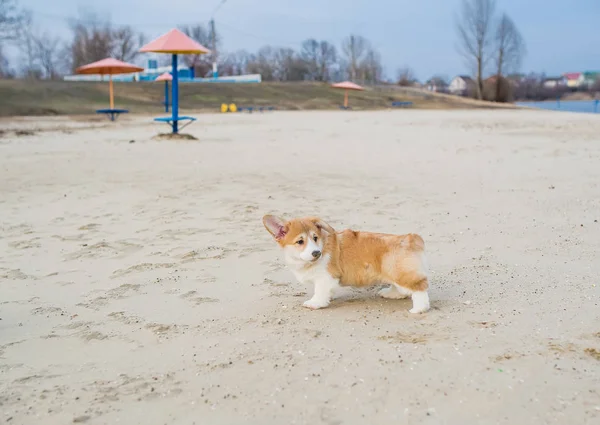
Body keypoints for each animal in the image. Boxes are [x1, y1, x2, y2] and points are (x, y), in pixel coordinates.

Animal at [264, 215, 428, 312]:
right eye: (300, 241)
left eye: (315, 238)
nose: (316, 253)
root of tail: (410, 239)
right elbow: (327, 292)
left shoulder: (325, 278)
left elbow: (319, 292)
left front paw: (315, 303)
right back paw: (391, 293)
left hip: (398, 271)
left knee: (419, 287)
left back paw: (419, 309)